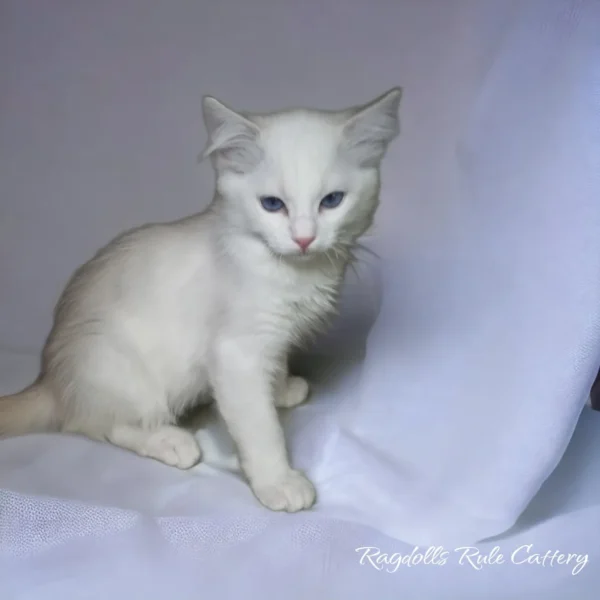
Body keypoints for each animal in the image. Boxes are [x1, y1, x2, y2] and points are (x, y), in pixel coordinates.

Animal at [1, 88, 404, 510]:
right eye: (272, 204)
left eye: (332, 201)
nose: (304, 239)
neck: (291, 272)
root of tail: (50, 379)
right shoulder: (236, 353)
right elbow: (261, 428)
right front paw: (278, 482)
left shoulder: (274, 339)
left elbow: (275, 370)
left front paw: (281, 391)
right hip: (117, 366)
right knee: (94, 423)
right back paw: (170, 441)